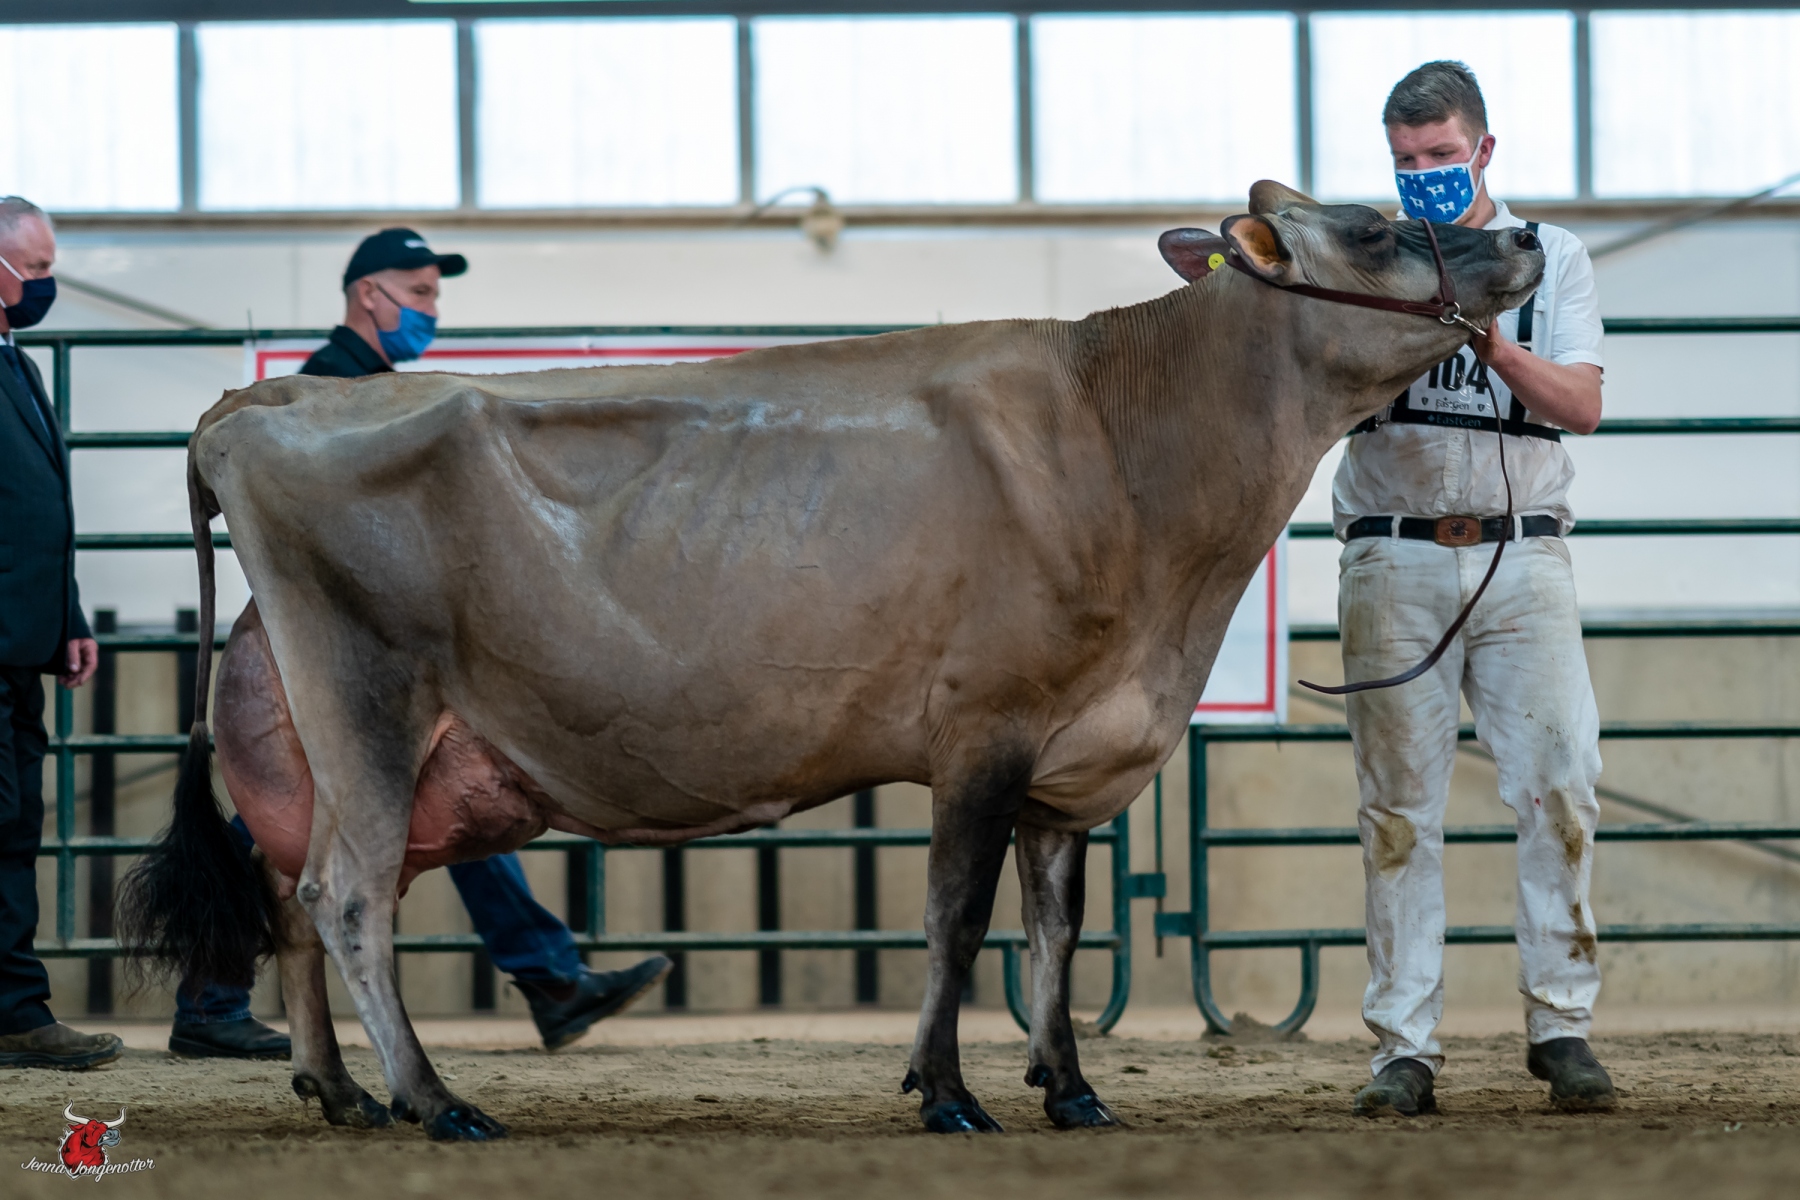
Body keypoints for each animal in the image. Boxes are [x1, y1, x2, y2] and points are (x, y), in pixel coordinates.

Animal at [120, 183, 1543, 1140]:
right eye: (1374, 229)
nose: (1526, 236)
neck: (1131, 444)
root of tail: (263, 399)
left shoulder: (1072, 754)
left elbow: (1057, 929)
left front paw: (1070, 1088)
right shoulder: (983, 730)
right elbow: (955, 919)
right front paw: (949, 1092)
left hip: (319, 732)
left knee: (290, 893)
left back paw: (338, 1091)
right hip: (372, 701)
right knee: (349, 898)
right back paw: (435, 1098)